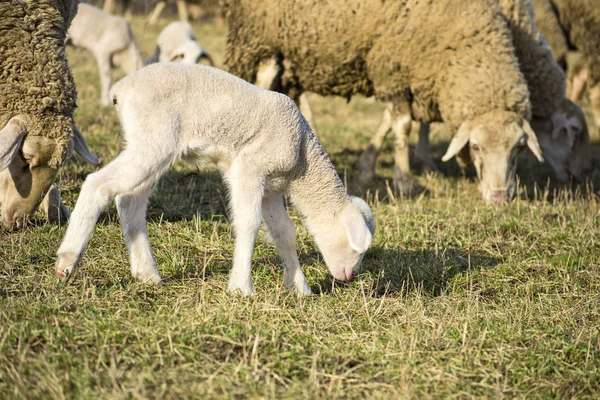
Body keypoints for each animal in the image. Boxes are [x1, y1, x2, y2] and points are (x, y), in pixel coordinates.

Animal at [56, 61, 376, 294]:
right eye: (357, 248)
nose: (349, 277)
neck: (302, 158)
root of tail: (121, 90)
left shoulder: (271, 188)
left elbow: (285, 233)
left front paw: (300, 288)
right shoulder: (249, 168)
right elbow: (248, 224)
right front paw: (241, 289)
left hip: (150, 143)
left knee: (129, 201)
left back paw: (147, 274)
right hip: (154, 138)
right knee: (97, 185)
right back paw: (67, 260)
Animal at [224, 0, 544, 205]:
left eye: (518, 149)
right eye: (476, 147)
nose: (500, 198)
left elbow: (390, 121)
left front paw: (368, 168)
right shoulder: (394, 69)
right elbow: (402, 126)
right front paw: (404, 181)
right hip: (262, 41)